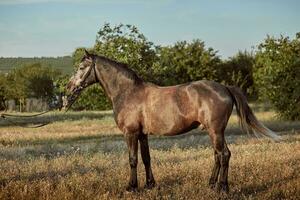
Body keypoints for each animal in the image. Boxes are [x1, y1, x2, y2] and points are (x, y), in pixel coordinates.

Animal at [63, 49, 282, 193]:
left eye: (81, 67)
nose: (69, 88)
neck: (128, 92)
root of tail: (225, 88)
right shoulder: (142, 135)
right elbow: (146, 158)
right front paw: (150, 184)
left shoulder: (131, 133)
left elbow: (133, 159)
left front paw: (131, 187)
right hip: (214, 132)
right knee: (218, 156)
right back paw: (211, 184)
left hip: (216, 131)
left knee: (224, 155)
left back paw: (222, 188)